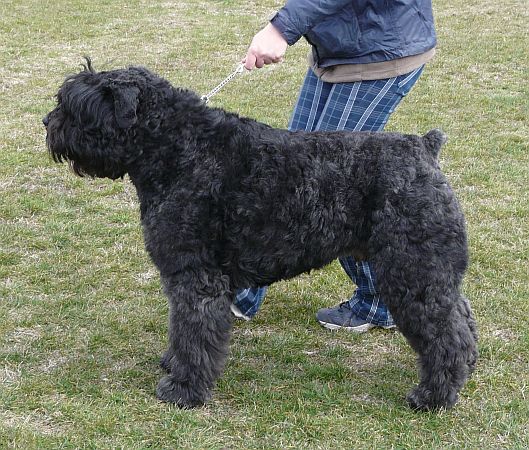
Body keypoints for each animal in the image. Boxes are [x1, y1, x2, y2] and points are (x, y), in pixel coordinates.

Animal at [43, 60, 476, 412]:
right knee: (462, 314)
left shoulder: (195, 277)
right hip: (427, 268)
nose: (47, 123)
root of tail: (424, 148)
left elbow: (193, 331)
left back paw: (433, 396)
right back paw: (468, 367)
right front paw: (173, 363)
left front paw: (184, 389)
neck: (177, 148)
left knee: (445, 334)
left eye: (78, 106)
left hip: (412, 270)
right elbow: (182, 328)